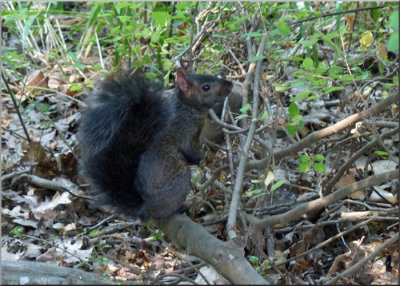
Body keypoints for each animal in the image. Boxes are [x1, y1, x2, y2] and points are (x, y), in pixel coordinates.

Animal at [78, 68, 233, 220]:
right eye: (206, 87)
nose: (230, 84)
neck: (185, 107)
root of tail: (144, 209)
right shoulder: (186, 131)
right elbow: (190, 150)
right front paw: (203, 156)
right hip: (180, 179)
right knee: (163, 213)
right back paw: (180, 208)